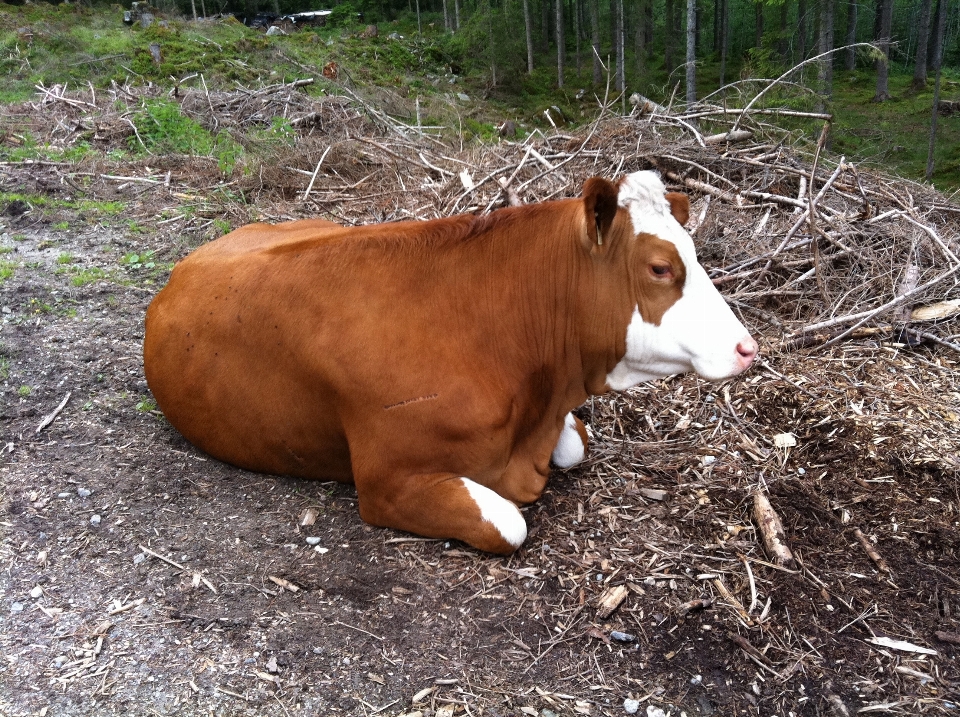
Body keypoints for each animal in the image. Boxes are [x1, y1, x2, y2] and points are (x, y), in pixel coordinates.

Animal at [144, 172, 756, 552]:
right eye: (659, 267)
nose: (747, 348)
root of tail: (186, 266)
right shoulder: (388, 482)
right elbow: (508, 524)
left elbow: (576, 442)